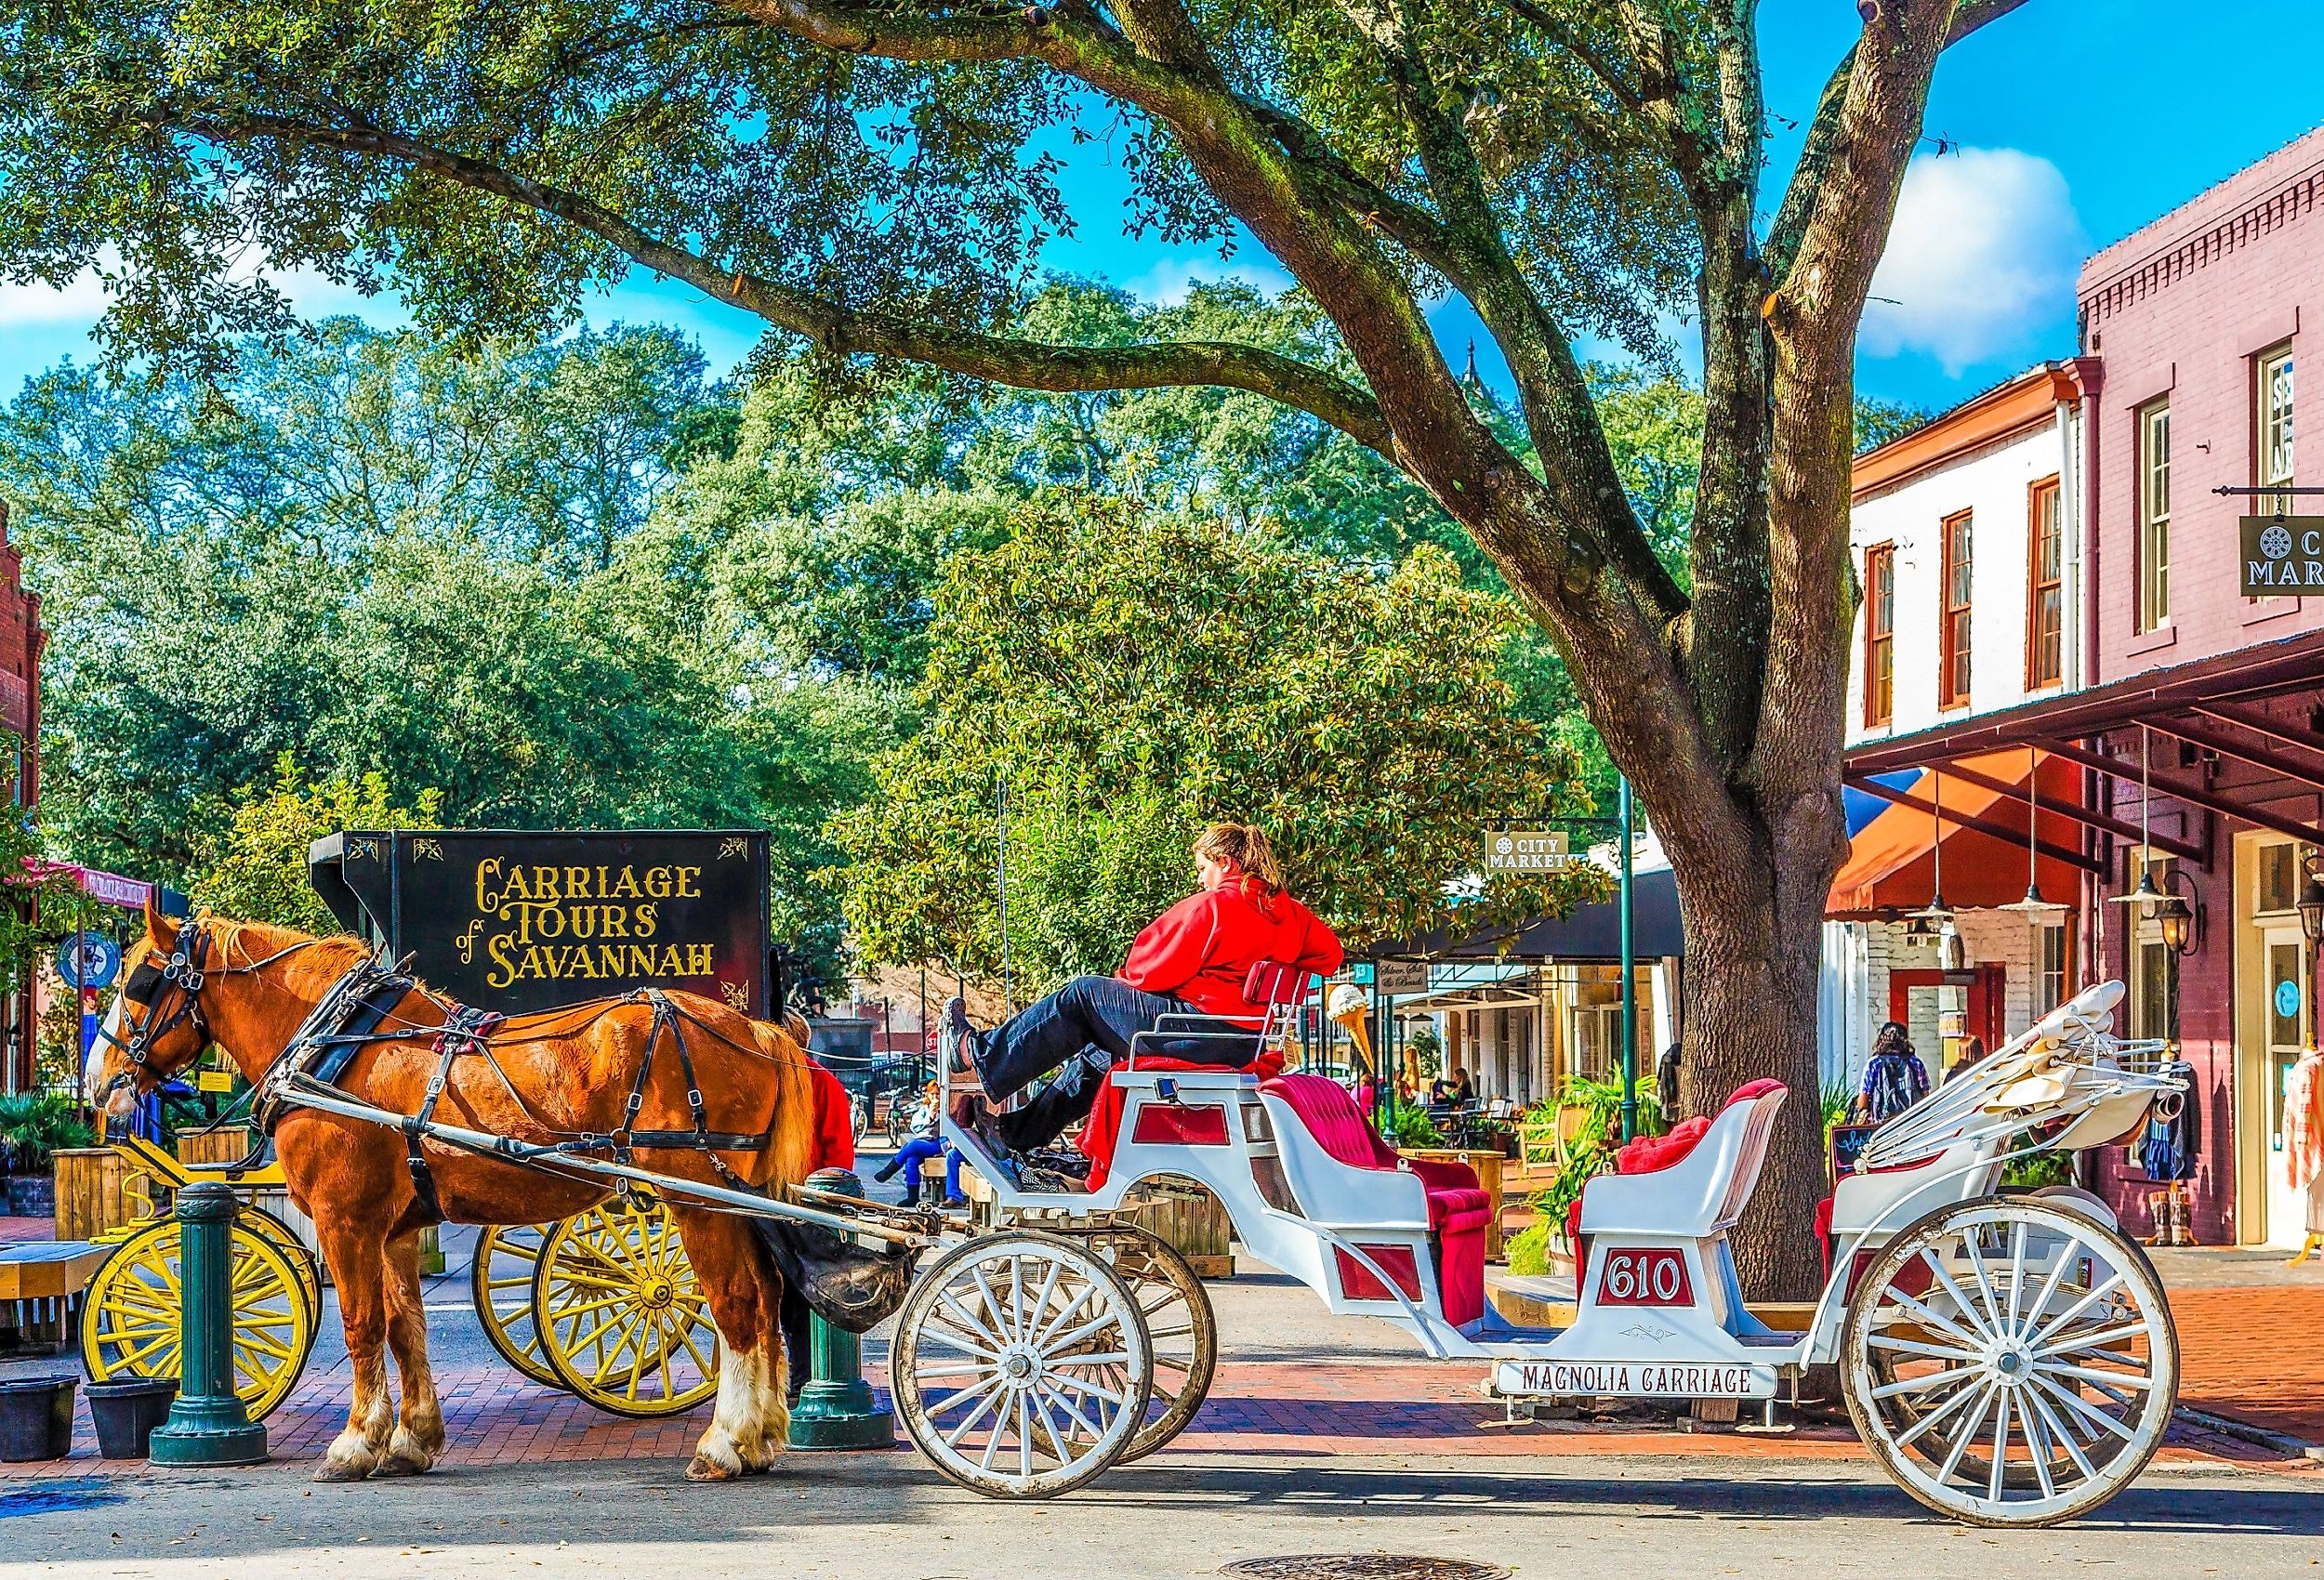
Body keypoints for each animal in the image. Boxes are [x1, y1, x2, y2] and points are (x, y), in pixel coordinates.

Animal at [84, 902, 827, 1478]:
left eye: (140, 982)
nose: (94, 1084)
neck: (339, 1048)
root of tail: (757, 1028)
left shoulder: (344, 1220)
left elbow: (360, 1324)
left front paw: (354, 1444)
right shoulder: (393, 1229)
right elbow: (403, 1328)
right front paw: (410, 1440)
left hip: (699, 1200)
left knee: (735, 1305)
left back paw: (724, 1444)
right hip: (737, 1199)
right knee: (767, 1300)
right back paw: (762, 1437)